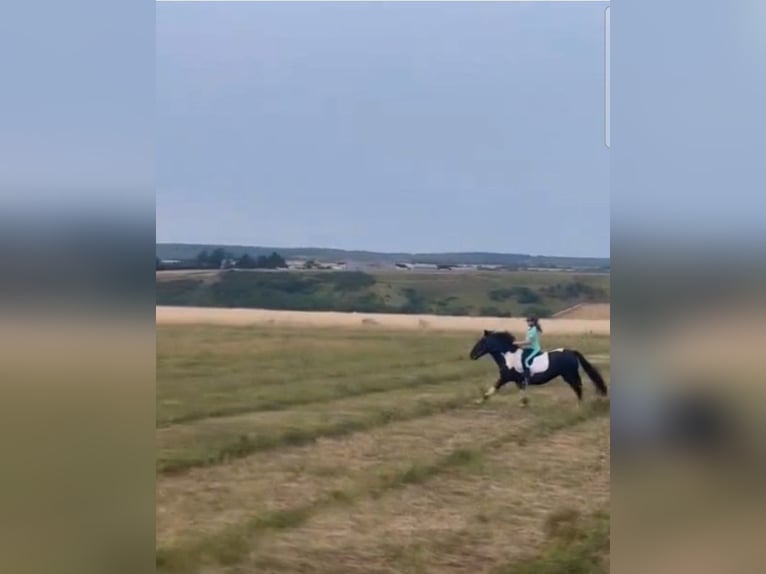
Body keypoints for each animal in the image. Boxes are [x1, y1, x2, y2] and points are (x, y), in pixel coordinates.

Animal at [468, 330, 612, 408]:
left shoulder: (505, 377)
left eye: (482, 342)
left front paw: (478, 401)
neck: (509, 356)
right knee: (578, 387)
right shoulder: (518, 380)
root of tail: (572, 351)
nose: (471, 355)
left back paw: (579, 405)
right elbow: (521, 391)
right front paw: (524, 404)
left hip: (569, 375)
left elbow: (492, 389)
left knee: (577, 387)